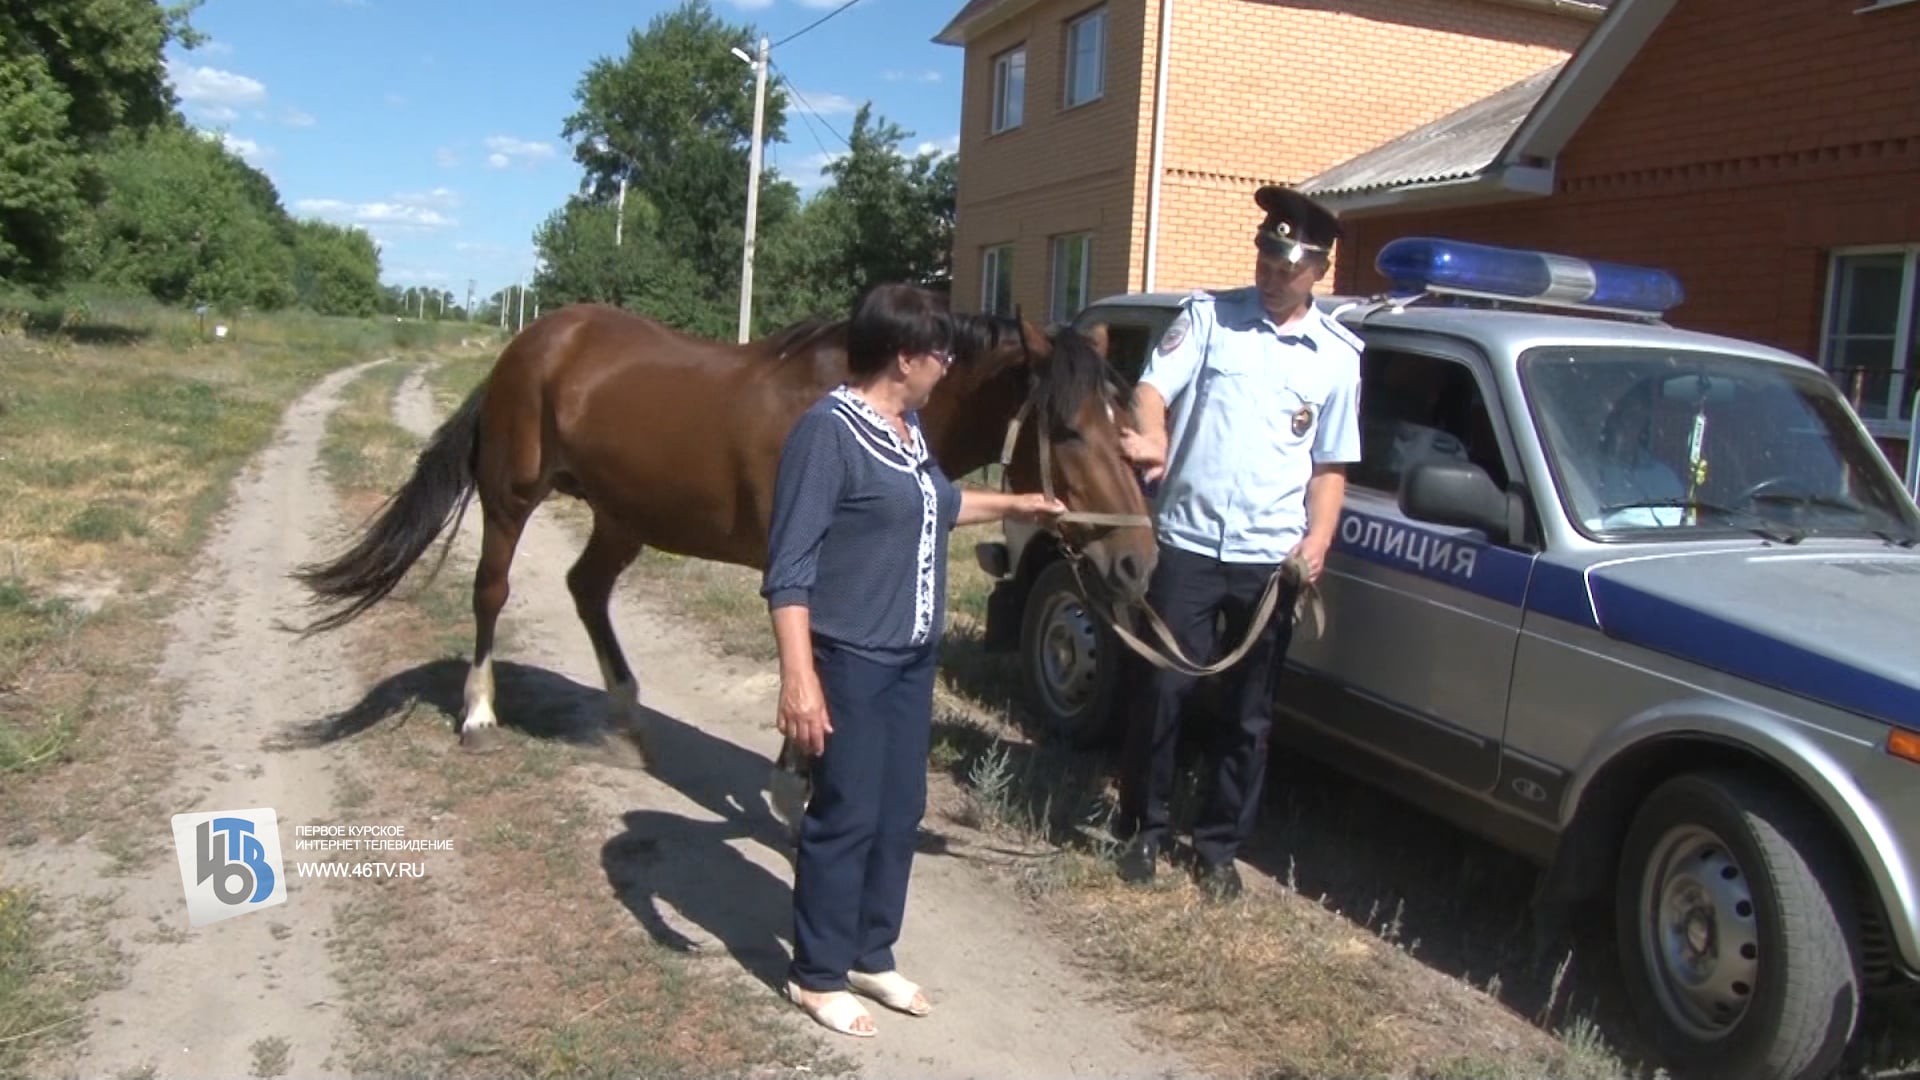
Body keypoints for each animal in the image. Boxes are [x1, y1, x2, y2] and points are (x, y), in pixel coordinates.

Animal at [284, 295, 1152, 791]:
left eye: (1126, 424)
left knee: (586, 590)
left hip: (623, 516)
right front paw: (796, 791)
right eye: (1068, 429)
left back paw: (632, 722)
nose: (1136, 560)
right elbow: (810, 679)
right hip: (510, 499)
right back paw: (478, 713)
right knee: (491, 591)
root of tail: (530, 343)